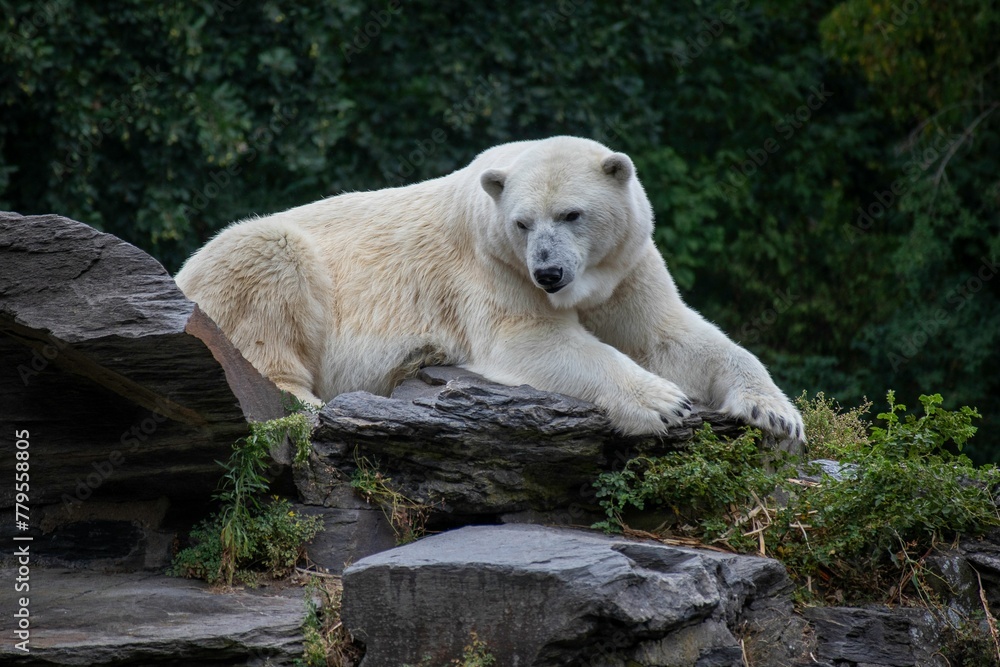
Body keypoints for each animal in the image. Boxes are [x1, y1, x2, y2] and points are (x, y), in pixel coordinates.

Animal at [175, 136, 804, 442]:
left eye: (573, 214)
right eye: (523, 223)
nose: (549, 273)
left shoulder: (624, 269)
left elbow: (668, 335)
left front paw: (777, 415)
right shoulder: (494, 266)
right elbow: (530, 341)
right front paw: (664, 403)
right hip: (251, 258)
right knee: (268, 264)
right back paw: (303, 400)